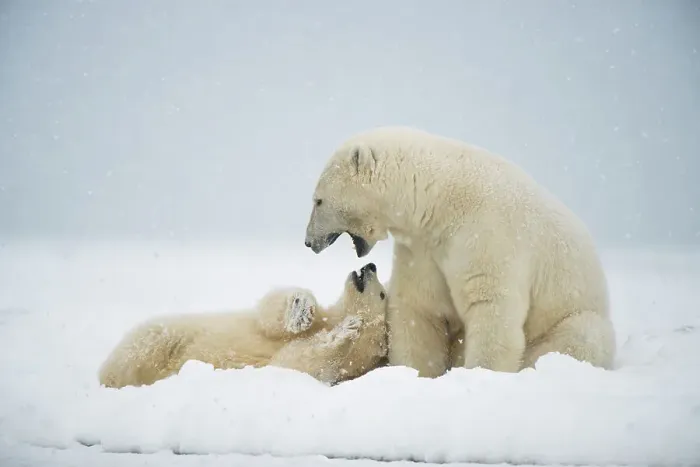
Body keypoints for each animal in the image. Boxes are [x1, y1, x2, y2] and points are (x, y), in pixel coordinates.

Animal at [98, 262, 388, 388]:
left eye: (383, 294)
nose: (371, 265)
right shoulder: (317, 318)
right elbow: (270, 314)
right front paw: (301, 309)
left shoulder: (343, 368)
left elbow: (295, 362)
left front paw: (345, 332)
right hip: (168, 332)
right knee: (147, 344)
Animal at [303, 126, 616, 377]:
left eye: (318, 201)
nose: (308, 241)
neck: (441, 198)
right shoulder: (423, 246)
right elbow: (420, 306)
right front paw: (416, 372)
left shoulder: (487, 233)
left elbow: (491, 306)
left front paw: (481, 374)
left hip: (573, 318)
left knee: (583, 335)